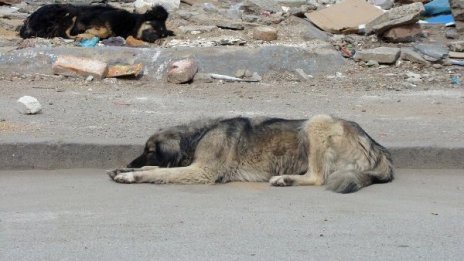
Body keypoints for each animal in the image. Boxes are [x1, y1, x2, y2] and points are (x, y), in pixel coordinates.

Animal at [19, 3, 172, 42]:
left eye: (161, 35)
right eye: (154, 26)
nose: (154, 39)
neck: (132, 24)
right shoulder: (102, 17)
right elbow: (105, 30)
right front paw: (88, 32)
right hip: (69, 13)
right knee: (65, 32)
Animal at [107, 114, 394, 193]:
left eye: (149, 150)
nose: (129, 160)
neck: (197, 136)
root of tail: (378, 149)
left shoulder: (201, 172)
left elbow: (156, 172)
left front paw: (130, 175)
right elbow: (154, 169)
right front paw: (125, 169)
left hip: (316, 122)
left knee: (317, 177)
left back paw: (285, 179)